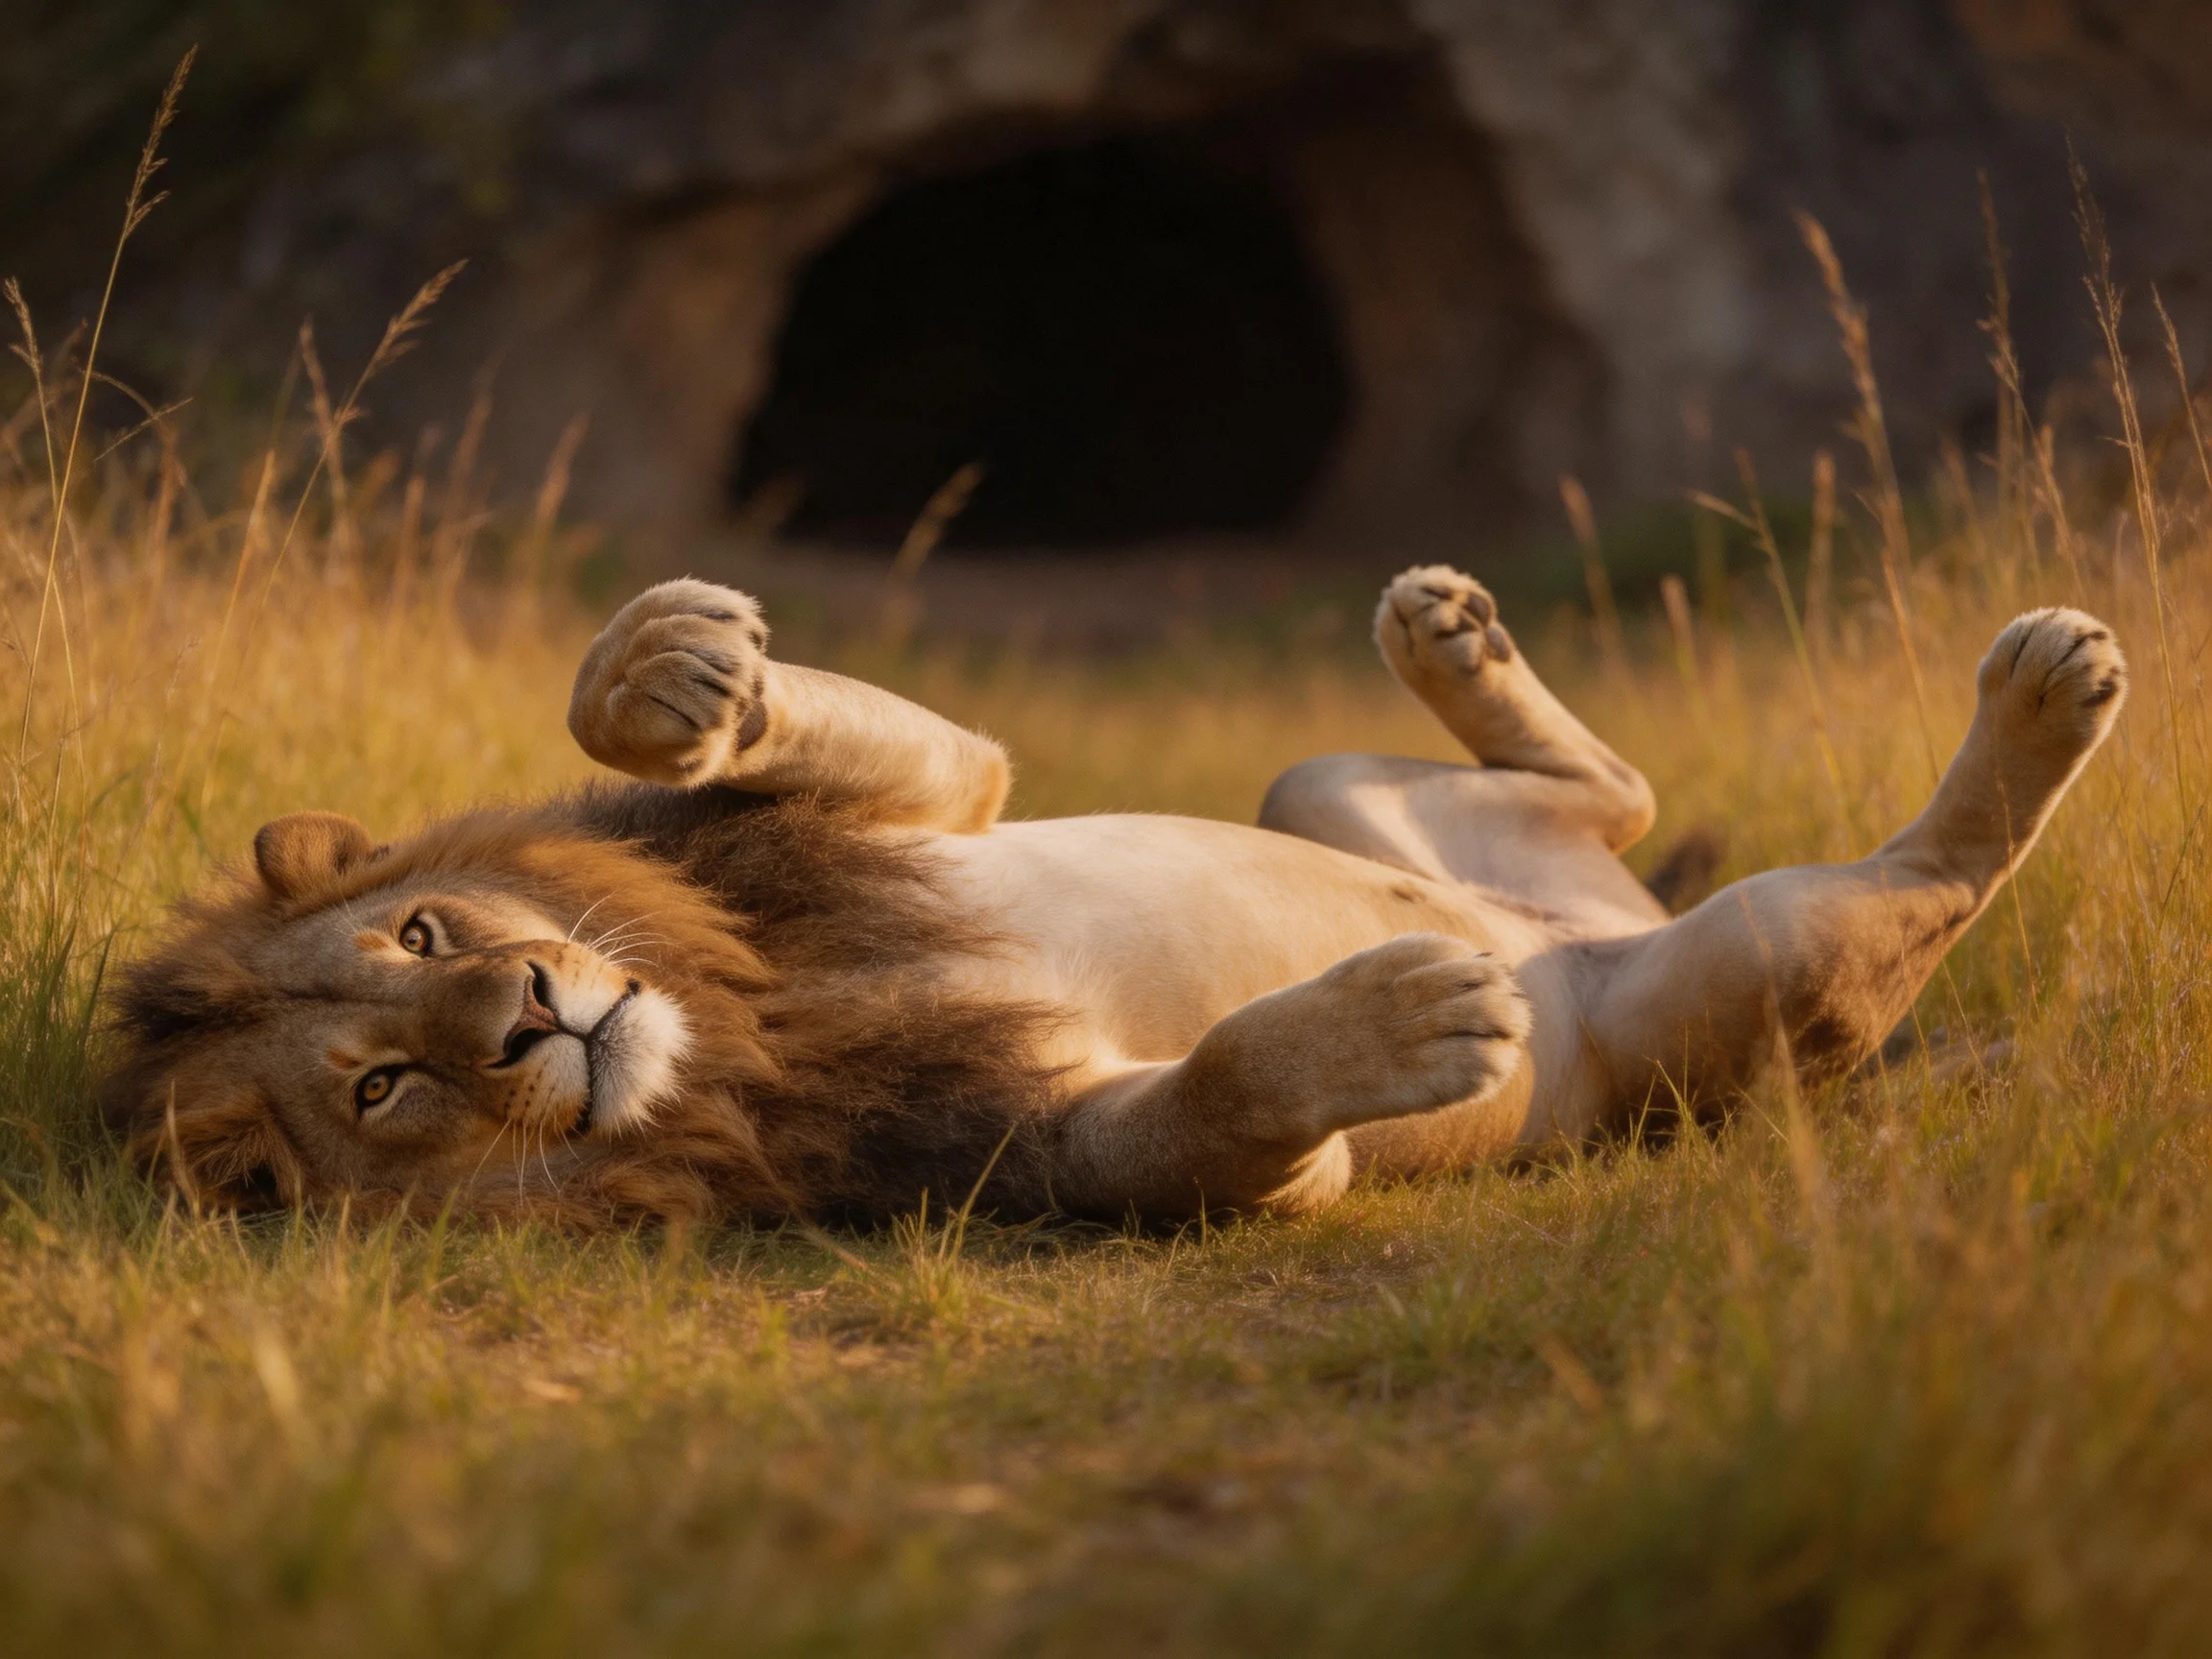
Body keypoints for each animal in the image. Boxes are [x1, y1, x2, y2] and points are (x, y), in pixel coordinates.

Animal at [101, 568, 2126, 1225]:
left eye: (424, 935)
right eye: (386, 1086)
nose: (531, 1015)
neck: (748, 1015)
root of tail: (1596, 928)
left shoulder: (916, 810)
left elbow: (774, 737)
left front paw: (675, 667)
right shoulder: (1019, 1150)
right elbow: (1230, 1103)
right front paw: (1398, 1015)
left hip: (1326, 793)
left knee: (1599, 792)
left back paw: (1448, 629)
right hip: (1733, 983)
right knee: (1916, 881)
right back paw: (2041, 697)